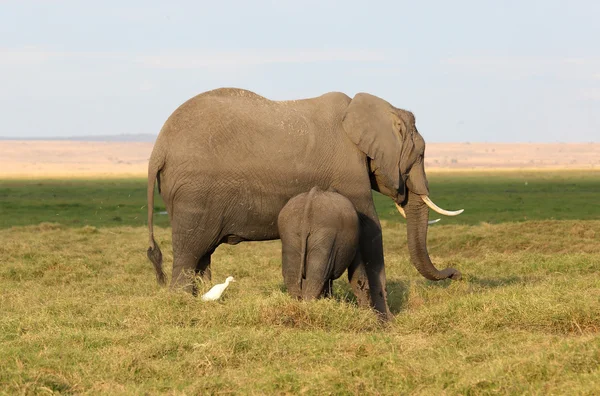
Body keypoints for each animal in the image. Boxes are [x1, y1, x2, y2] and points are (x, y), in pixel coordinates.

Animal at [146, 87, 464, 318]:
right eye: (421, 154)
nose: (457, 275)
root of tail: (158, 148)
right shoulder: (348, 170)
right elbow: (371, 231)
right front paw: (384, 322)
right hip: (193, 194)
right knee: (190, 253)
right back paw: (182, 306)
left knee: (203, 254)